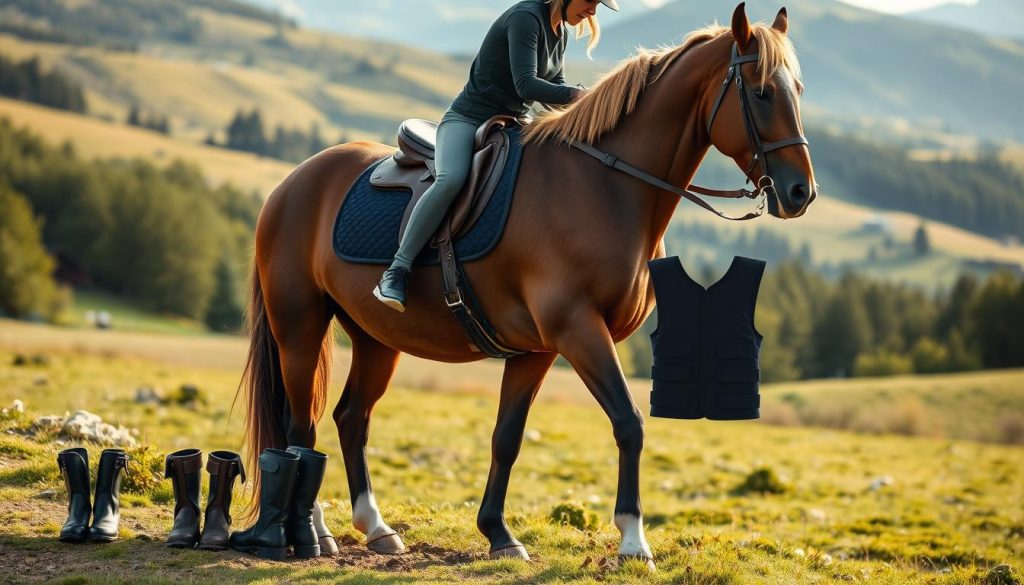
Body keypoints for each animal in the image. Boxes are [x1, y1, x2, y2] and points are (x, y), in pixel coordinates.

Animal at [237, 0, 815, 569]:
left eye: (797, 90)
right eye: (761, 92)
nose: (800, 193)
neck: (606, 187)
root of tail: (291, 184)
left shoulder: (536, 349)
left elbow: (507, 438)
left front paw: (499, 534)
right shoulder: (577, 329)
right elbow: (629, 422)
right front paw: (633, 542)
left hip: (376, 339)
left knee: (350, 418)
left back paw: (376, 529)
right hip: (300, 329)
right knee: (300, 428)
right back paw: (314, 533)